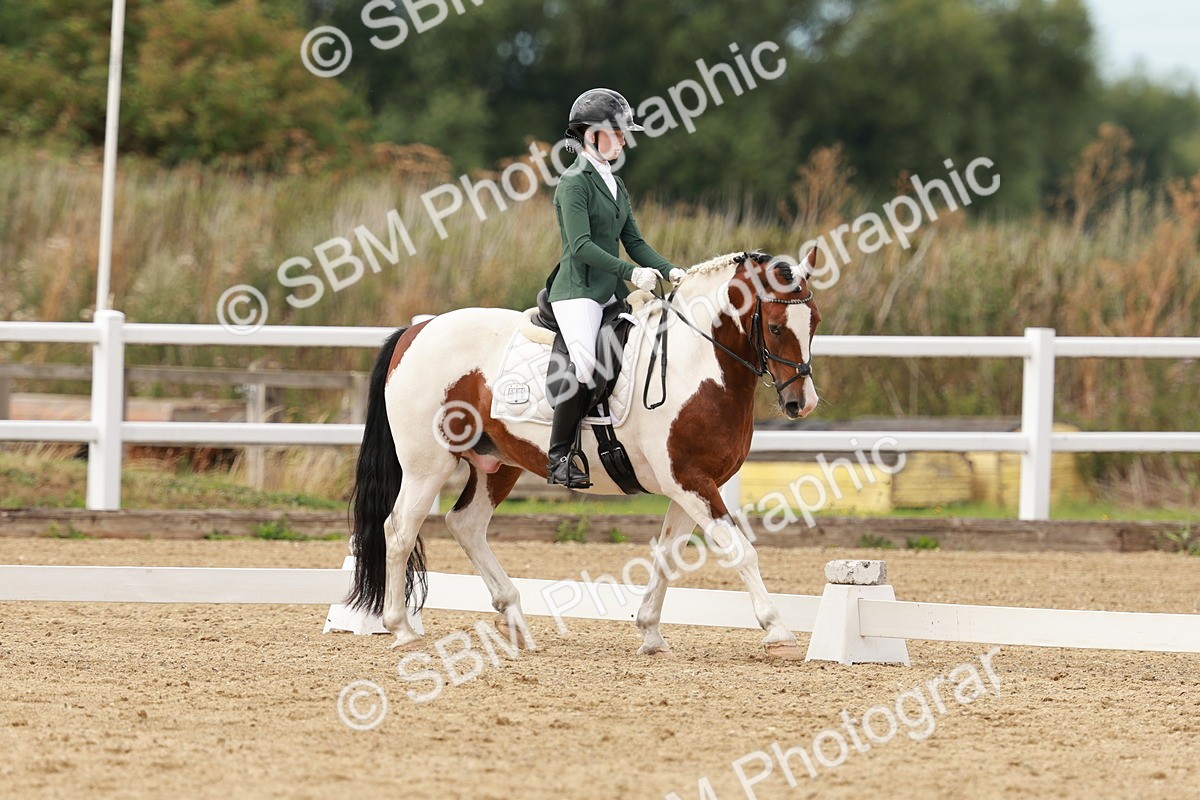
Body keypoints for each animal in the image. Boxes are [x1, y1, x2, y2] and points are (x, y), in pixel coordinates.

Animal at [347, 249, 821, 659]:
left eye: (813, 321)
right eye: (776, 327)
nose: (802, 403)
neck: (695, 362)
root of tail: (417, 330)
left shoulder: (692, 485)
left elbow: (668, 555)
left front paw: (651, 633)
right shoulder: (691, 481)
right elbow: (742, 551)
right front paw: (778, 632)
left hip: (498, 464)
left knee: (466, 524)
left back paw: (515, 622)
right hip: (427, 466)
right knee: (399, 530)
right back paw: (402, 629)